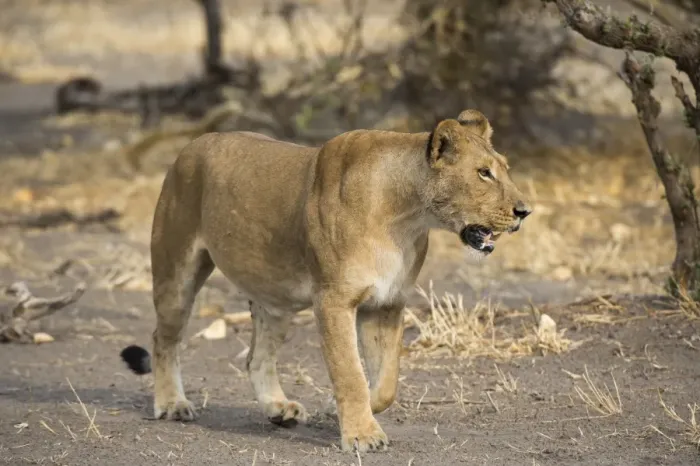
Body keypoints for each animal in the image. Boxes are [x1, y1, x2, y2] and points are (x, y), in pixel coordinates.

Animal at [119, 109, 532, 453]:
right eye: (483, 173)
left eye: (505, 168)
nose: (524, 211)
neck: (405, 217)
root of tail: (191, 144)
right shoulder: (334, 300)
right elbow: (349, 372)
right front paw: (362, 436)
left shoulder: (386, 303)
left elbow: (385, 382)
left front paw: (343, 414)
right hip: (177, 270)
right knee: (163, 339)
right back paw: (172, 404)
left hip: (275, 297)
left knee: (256, 357)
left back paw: (278, 408)